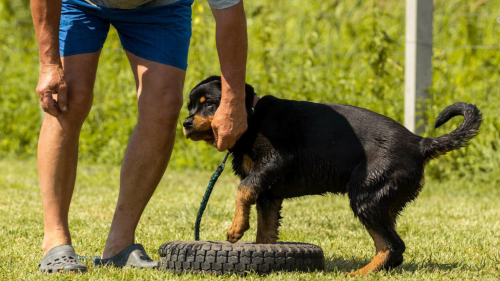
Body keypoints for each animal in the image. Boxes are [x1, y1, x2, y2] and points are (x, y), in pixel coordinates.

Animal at [183, 75, 480, 274]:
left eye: (209, 104)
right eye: (189, 106)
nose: (185, 123)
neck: (252, 118)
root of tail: (420, 143)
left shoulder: (276, 159)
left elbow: (243, 189)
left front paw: (235, 229)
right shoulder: (268, 193)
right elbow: (265, 233)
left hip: (366, 196)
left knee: (392, 245)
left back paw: (359, 273)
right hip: (380, 201)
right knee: (393, 249)